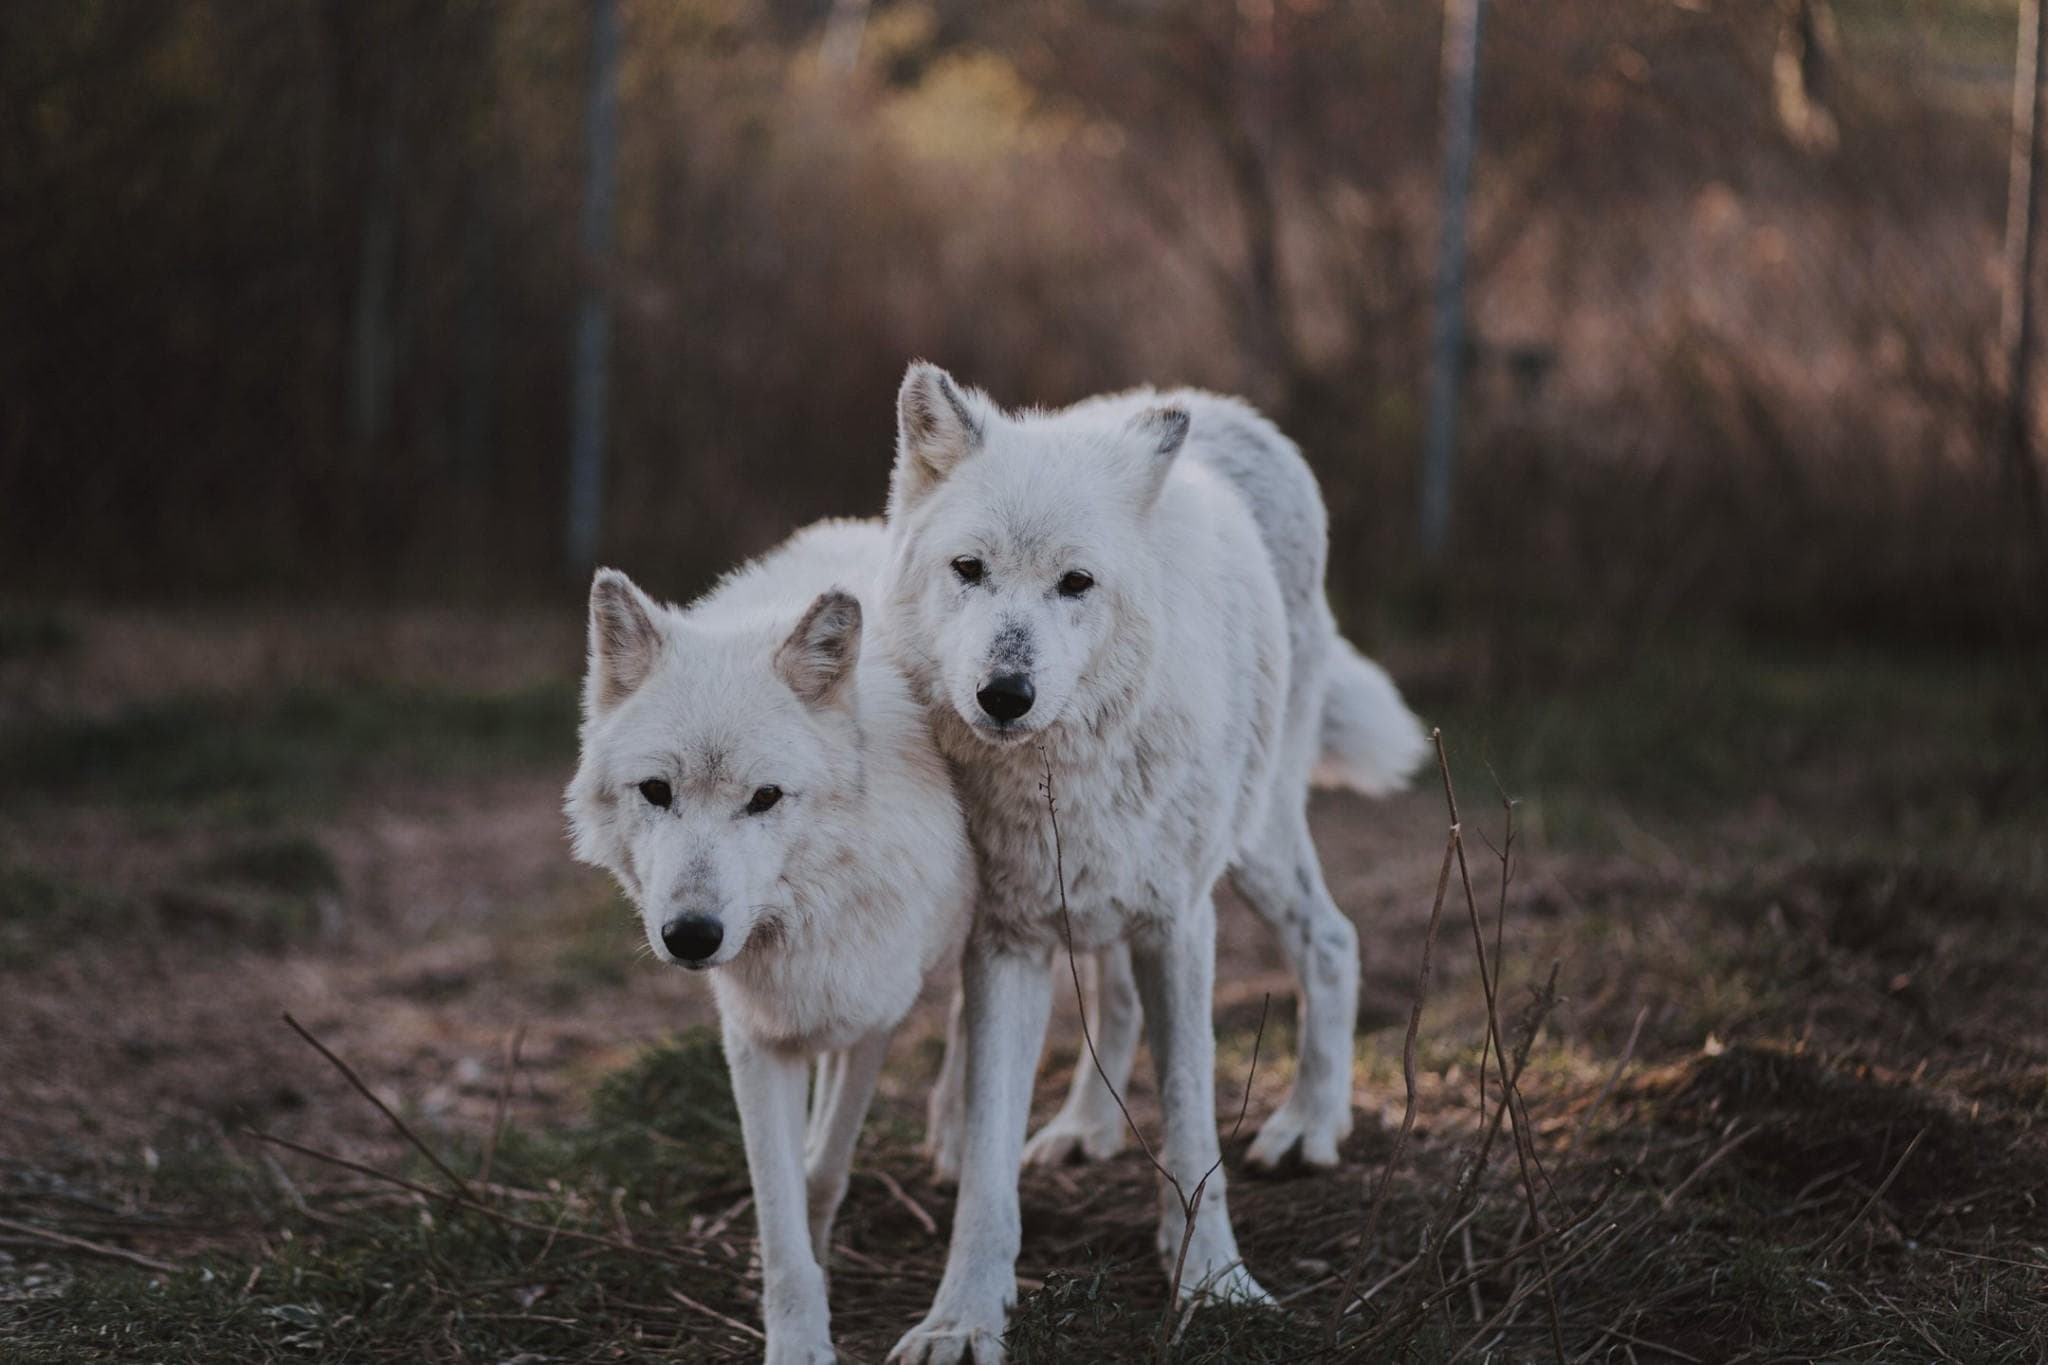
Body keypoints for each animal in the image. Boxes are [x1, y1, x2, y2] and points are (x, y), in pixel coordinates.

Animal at [564, 520, 973, 1365]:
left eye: (764, 798)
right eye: (657, 791)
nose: (691, 936)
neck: (799, 911)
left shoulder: (876, 1010)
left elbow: (823, 1170)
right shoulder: (755, 1030)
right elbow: (777, 1200)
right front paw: (796, 1326)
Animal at [880, 364, 1428, 1364]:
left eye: (1076, 582)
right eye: (968, 569)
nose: (1004, 693)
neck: (1053, 772)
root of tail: (1218, 404)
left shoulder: (1179, 923)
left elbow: (1191, 1117)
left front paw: (1215, 1282)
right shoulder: (1009, 937)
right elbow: (987, 1163)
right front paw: (963, 1316)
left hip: (1254, 841)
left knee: (1331, 938)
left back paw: (1308, 1126)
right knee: (1113, 996)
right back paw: (1078, 1130)